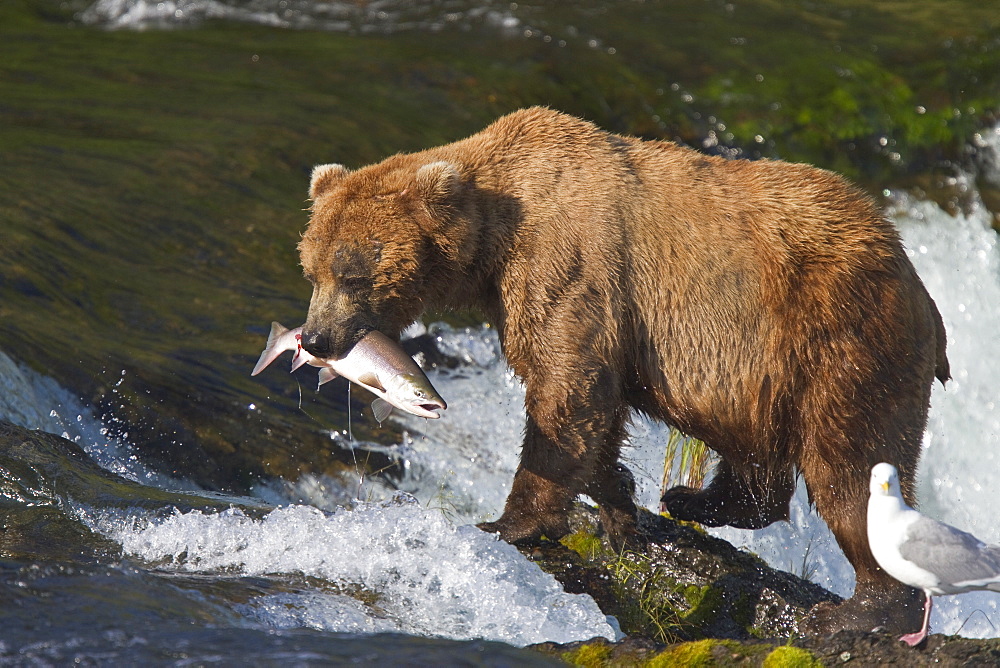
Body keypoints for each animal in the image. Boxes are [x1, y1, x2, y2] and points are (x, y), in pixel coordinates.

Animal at [294, 107, 944, 636]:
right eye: (312, 270)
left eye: (355, 274)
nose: (315, 337)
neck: (491, 243)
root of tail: (918, 284)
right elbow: (594, 408)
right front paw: (620, 505)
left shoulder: (566, 266)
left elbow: (566, 389)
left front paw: (510, 522)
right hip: (770, 375)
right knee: (761, 454)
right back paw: (692, 499)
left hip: (839, 342)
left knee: (851, 466)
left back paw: (856, 611)